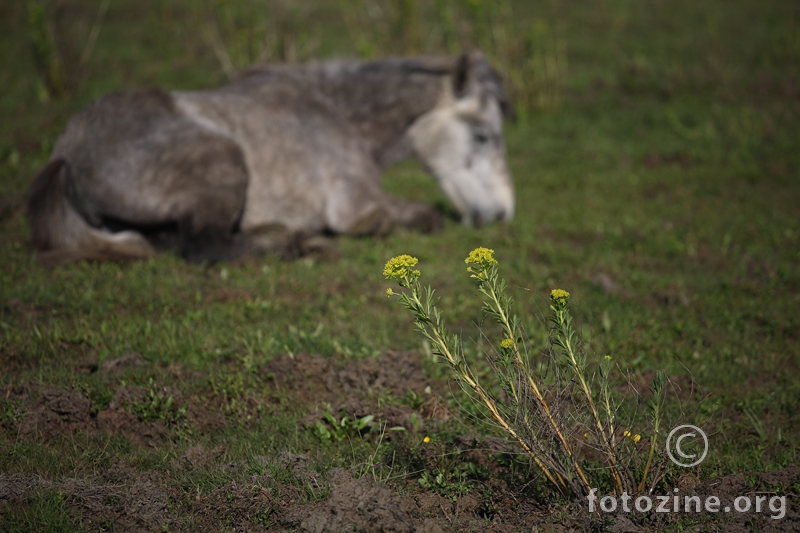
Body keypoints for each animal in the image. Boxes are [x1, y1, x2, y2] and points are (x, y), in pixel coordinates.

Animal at [28, 51, 516, 262]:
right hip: (223, 164)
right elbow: (420, 218)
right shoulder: (356, 204)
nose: (503, 213)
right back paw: (300, 244)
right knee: (206, 247)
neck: (334, 111)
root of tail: (67, 154)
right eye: (483, 135)